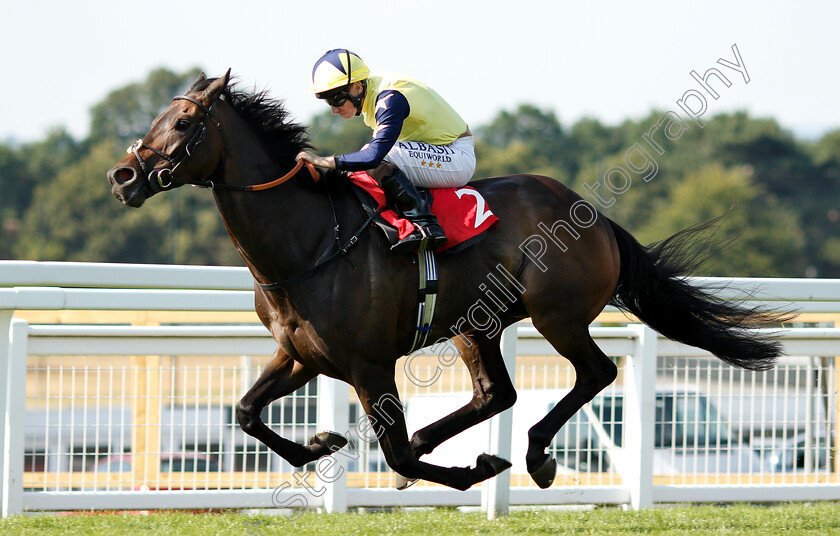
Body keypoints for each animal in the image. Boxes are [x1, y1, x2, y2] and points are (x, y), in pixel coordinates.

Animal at [108, 73, 792, 492]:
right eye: (160, 115)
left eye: (184, 123)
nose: (123, 175)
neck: (309, 242)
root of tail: (593, 214)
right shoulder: (301, 355)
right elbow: (247, 412)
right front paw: (321, 442)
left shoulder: (369, 364)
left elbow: (394, 452)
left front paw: (465, 468)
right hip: (475, 324)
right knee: (496, 394)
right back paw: (456, 439)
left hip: (558, 315)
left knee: (593, 373)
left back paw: (535, 455)